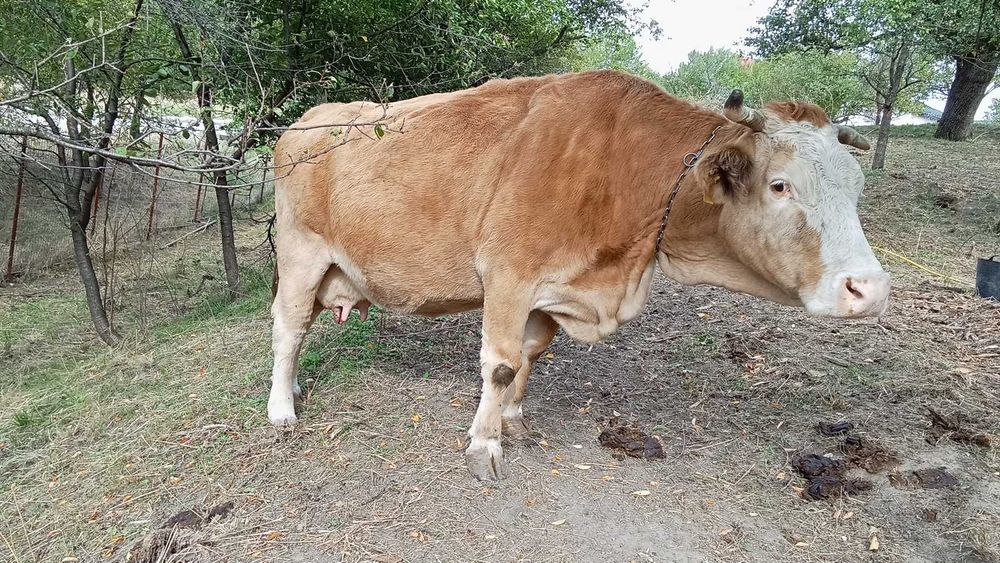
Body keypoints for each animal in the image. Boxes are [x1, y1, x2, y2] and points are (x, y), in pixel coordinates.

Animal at [267, 70, 889, 481]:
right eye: (780, 185)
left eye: (859, 187)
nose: (872, 289)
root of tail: (307, 120)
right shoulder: (508, 275)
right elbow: (500, 364)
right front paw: (483, 446)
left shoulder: (552, 290)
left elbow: (530, 354)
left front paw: (513, 422)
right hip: (301, 255)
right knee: (288, 328)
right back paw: (282, 410)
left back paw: (293, 388)